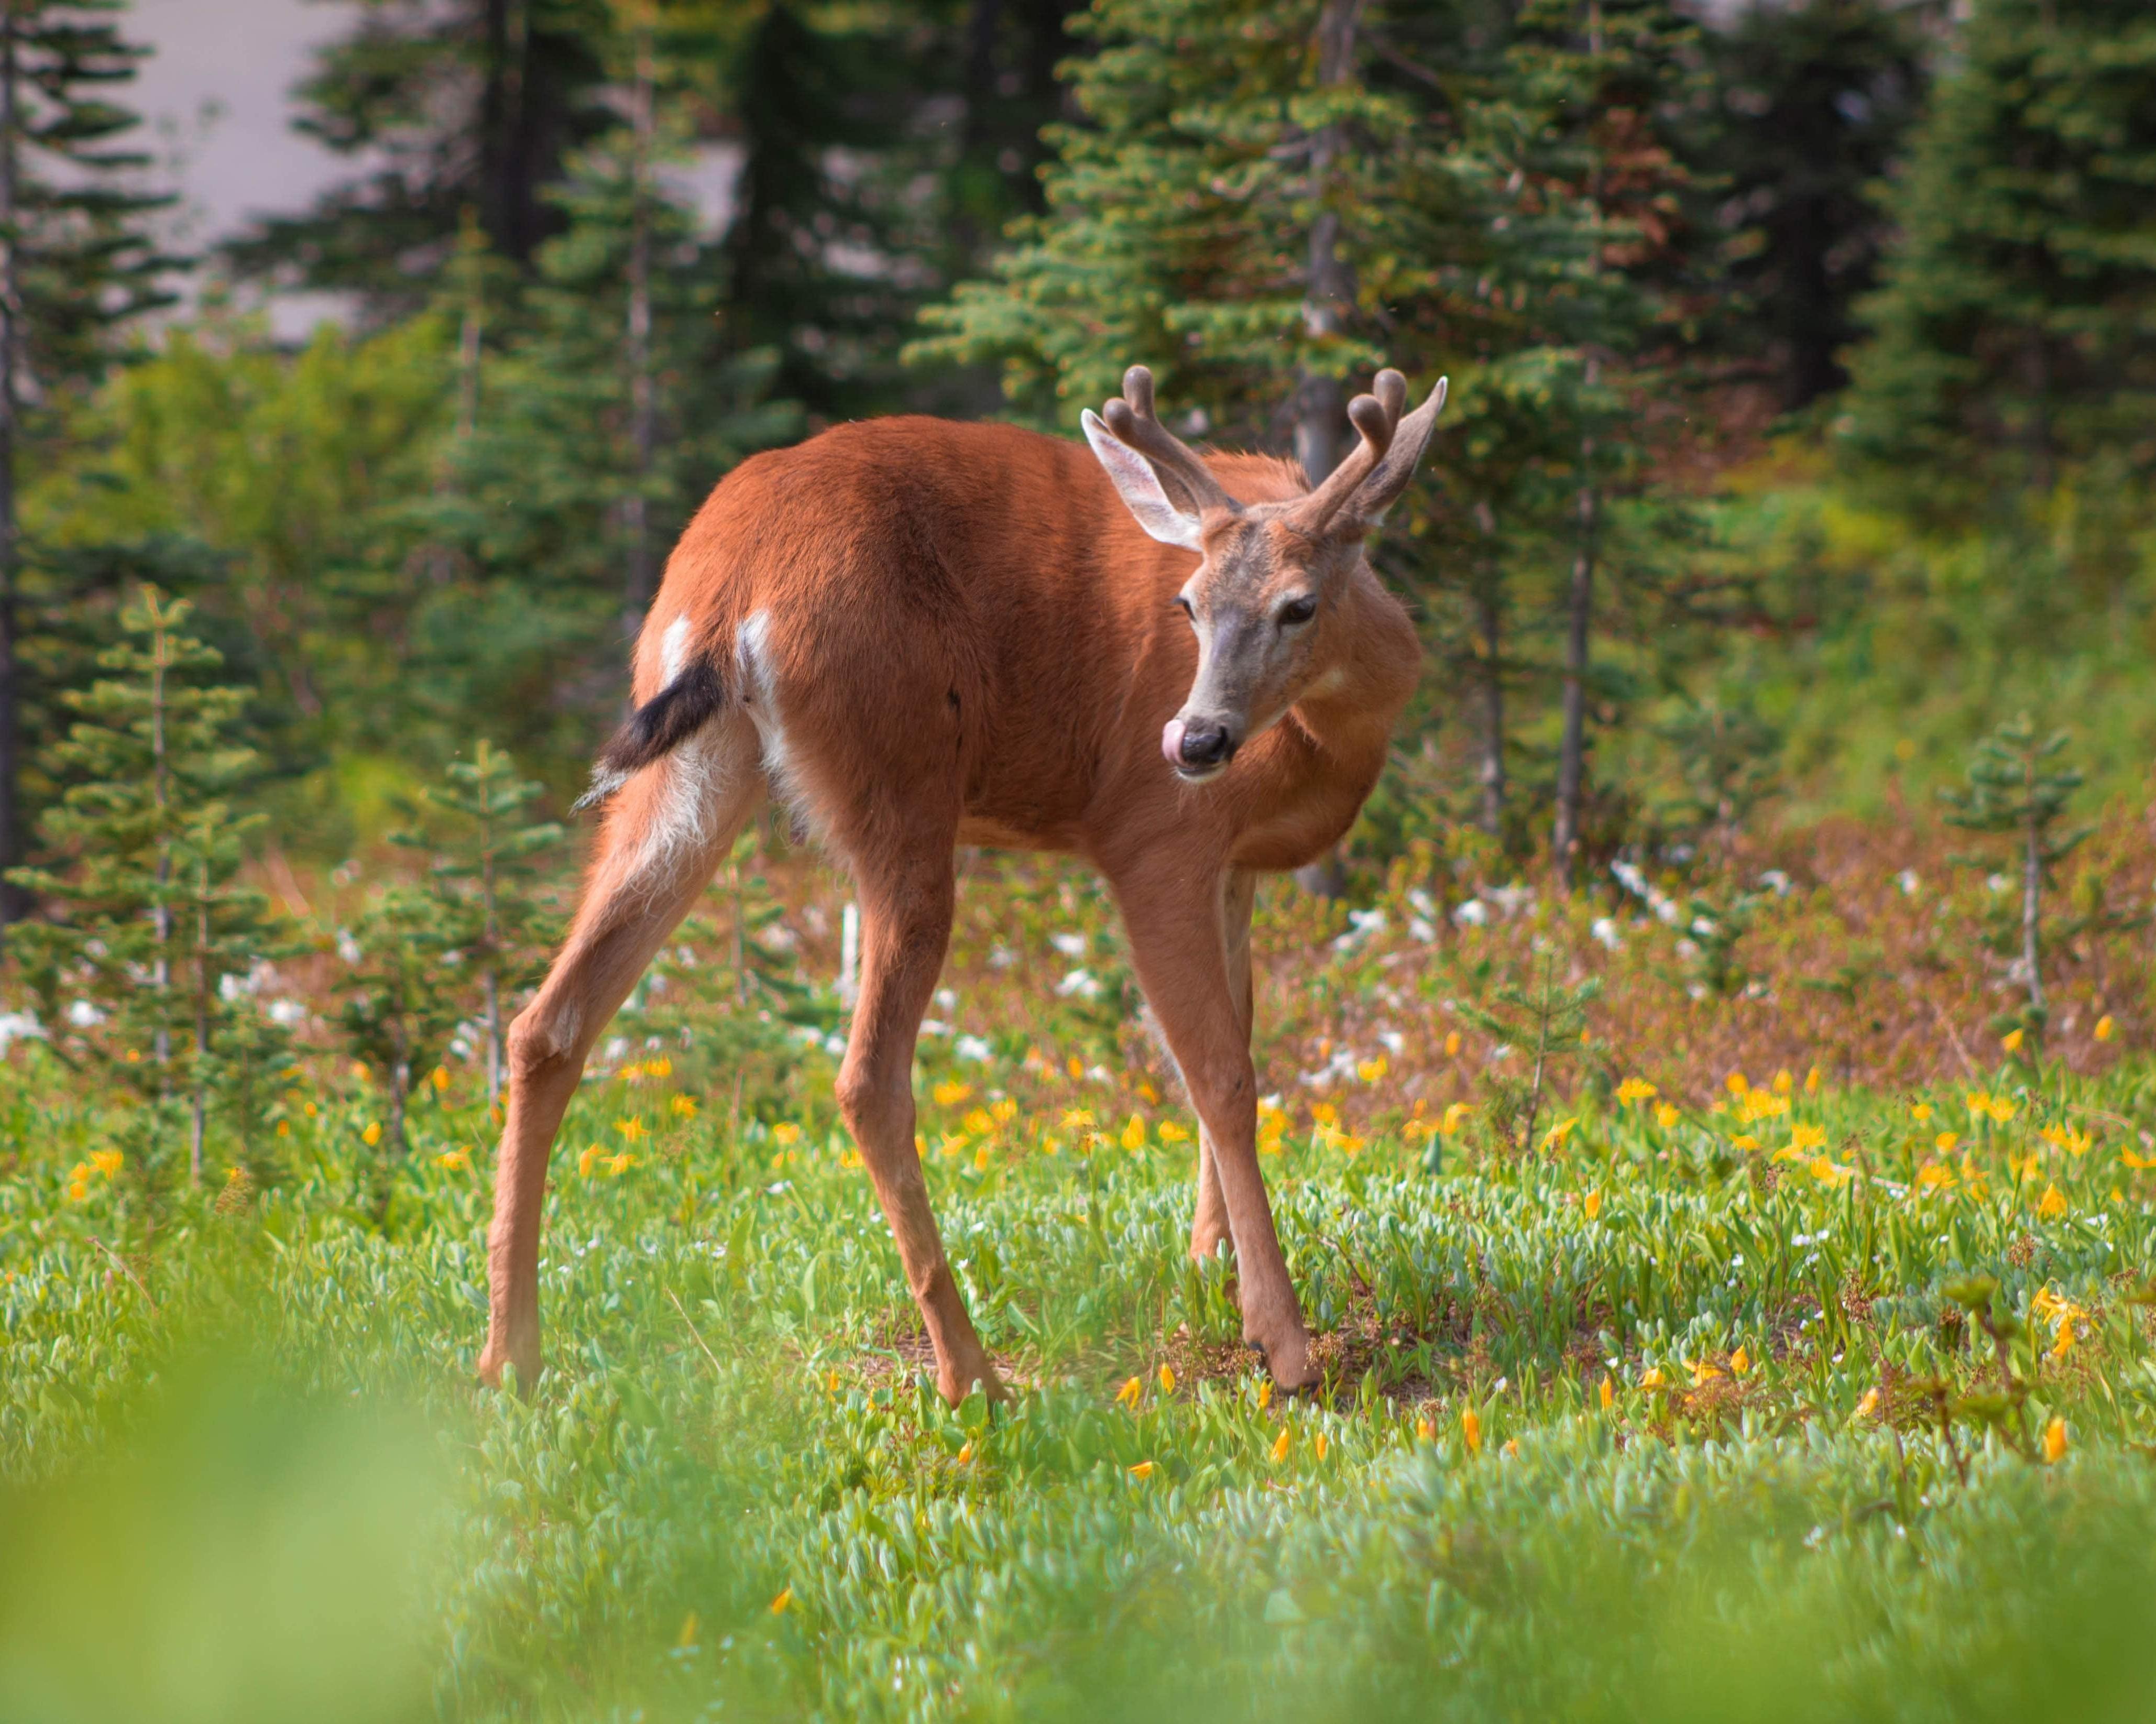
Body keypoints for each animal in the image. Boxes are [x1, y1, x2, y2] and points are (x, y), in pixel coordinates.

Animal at [478, 359, 1440, 1396]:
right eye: (1186, 606)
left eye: (1298, 605)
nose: (1194, 739)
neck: (1330, 737)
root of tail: (733, 588)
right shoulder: (1153, 840)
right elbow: (1221, 1074)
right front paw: (1281, 1340)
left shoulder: (1233, 865)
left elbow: (1234, 1040)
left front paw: (1206, 1269)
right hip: (899, 777)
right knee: (868, 1078)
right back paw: (969, 1370)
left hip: (693, 773)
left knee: (547, 1023)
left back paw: (508, 1355)